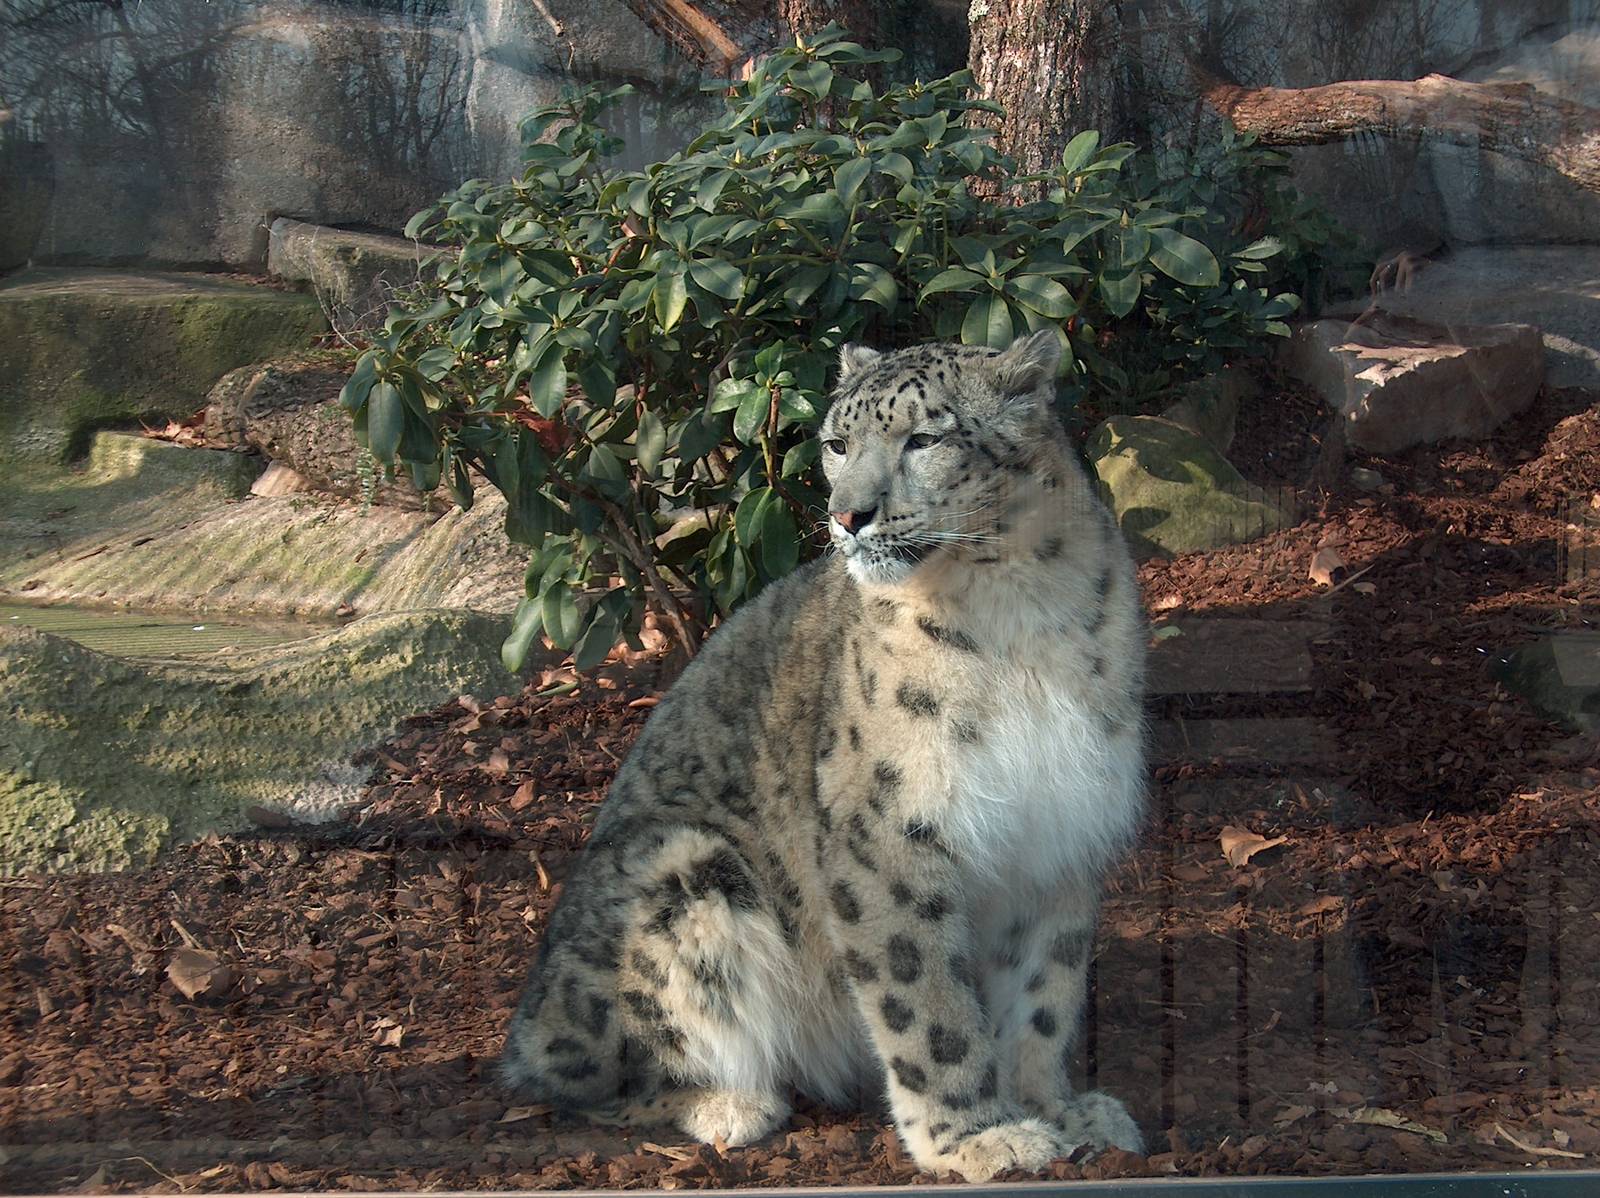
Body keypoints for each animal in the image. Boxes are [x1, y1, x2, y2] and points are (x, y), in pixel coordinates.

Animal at [498, 329, 1148, 1181]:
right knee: (580, 1074)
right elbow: (928, 1004)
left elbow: (1044, 993)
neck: (1016, 614)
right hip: (684, 869)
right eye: (840, 444)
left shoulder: (1062, 828)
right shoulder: (893, 835)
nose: (847, 515)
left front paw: (1057, 1109)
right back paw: (730, 1103)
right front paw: (976, 1139)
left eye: (924, 439)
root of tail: (526, 1016)